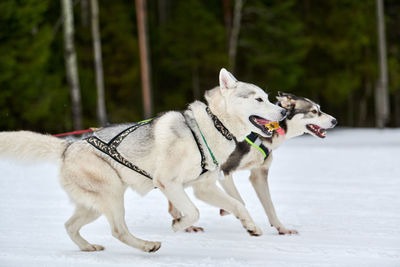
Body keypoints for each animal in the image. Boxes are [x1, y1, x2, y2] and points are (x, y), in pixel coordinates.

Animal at [0, 68, 288, 253]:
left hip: (94, 205)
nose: (284, 112)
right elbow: (193, 212)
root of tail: (68, 146)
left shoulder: (203, 188)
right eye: (259, 99)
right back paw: (147, 245)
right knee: (118, 231)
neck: (212, 126)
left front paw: (251, 227)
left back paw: (89, 247)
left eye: (268, 97)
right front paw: (179, 224)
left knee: (70, 226)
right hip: (113, 195)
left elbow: (238, 205)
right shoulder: (169, 183)